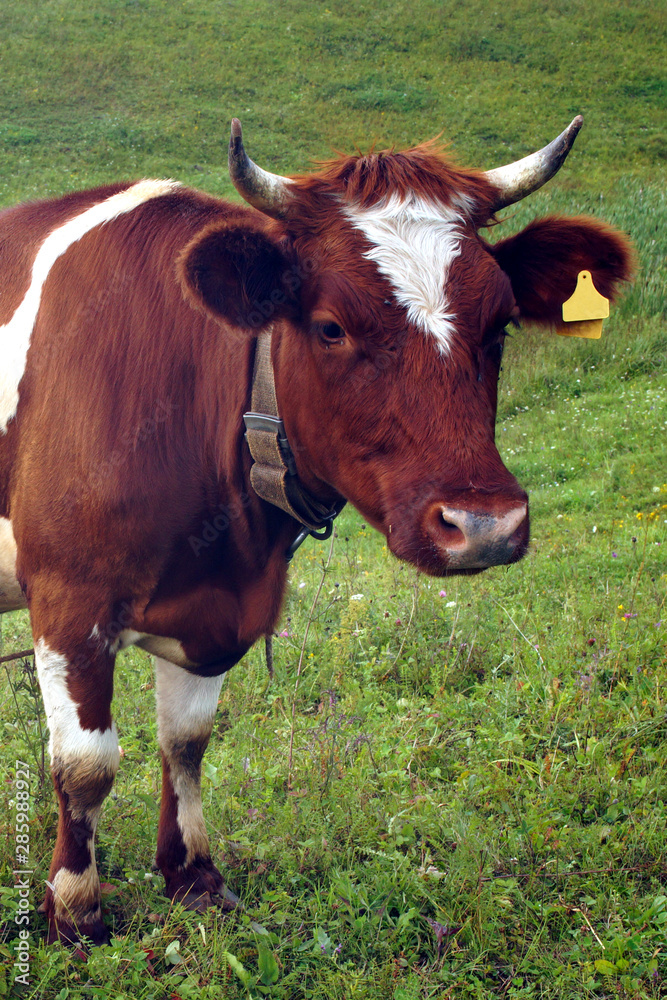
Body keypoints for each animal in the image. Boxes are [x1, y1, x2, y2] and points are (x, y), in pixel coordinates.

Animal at [0, 117, 632, 944]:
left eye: (499, 325)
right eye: (330, 327)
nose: (485, 525)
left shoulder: (217, 605)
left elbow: (187, 741)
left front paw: (193, 876)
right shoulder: (70, 599)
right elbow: (85, 764)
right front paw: (75, 909)